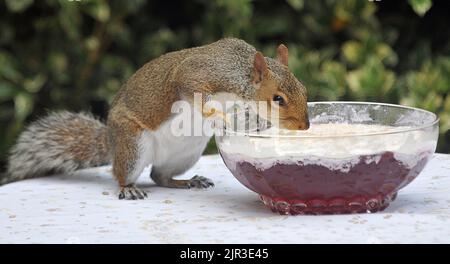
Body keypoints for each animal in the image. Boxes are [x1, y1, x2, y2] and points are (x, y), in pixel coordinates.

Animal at [0, 38, 310, 199]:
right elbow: (193, 91)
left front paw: (256, 123)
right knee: (123, 173)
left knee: (159, 176)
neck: (239, 73)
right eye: (278, 99)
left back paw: (187, 182)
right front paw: (218, 116)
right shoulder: (195, 74)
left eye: (304, 88)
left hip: (185, 153)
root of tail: (111, 140)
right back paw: (129, 188)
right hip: (133, 144)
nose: (304, 126)